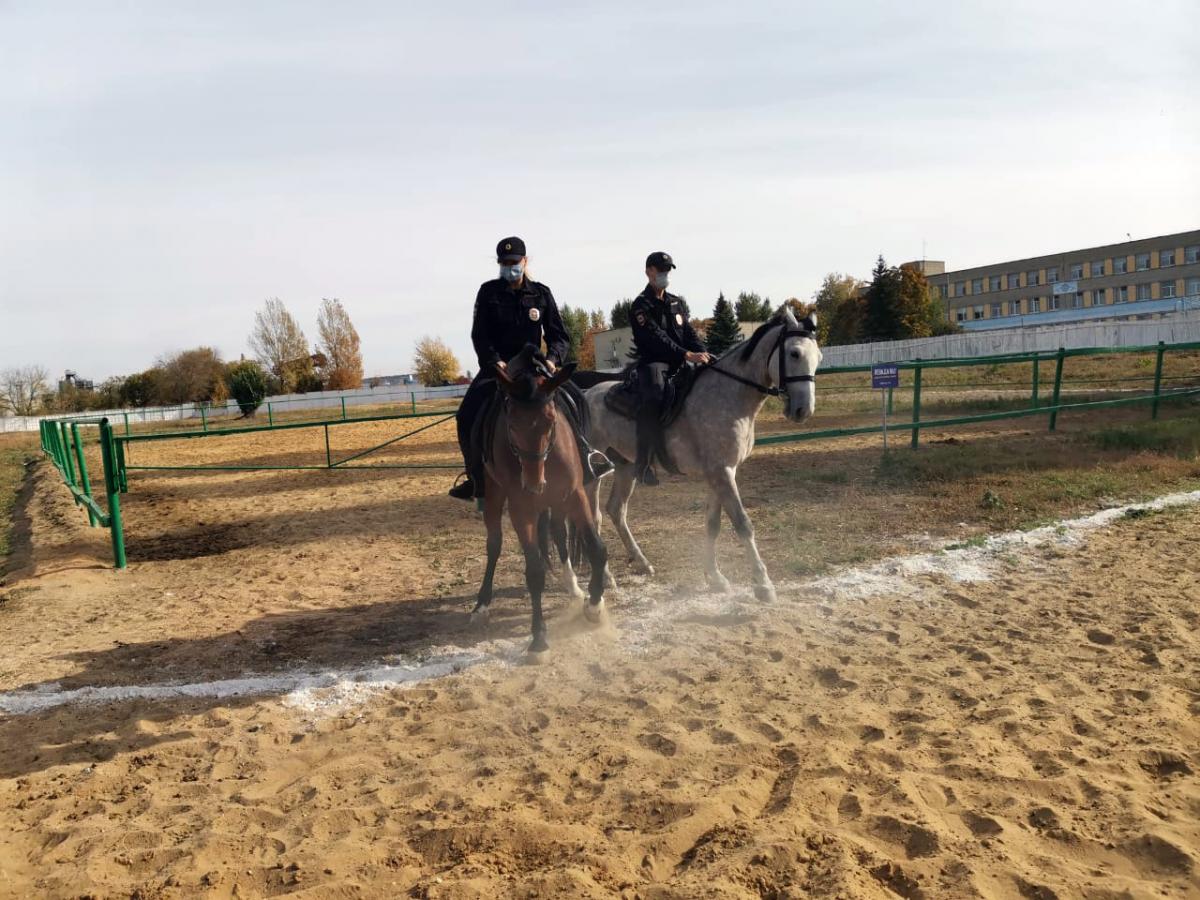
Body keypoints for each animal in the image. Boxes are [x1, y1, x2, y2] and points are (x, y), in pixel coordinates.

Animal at [472, 348, 609, 657]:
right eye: (511, 423)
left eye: (550, 419)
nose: (534, 484)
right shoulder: (521, 509)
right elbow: (534, 571)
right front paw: (538, 636)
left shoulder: (575, 494)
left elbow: (596, 549)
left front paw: (594, 607)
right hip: (494, 495)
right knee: (494, 544)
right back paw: (482, 604)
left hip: (556, 501)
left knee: (558, 533)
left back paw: (573, 587)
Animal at [583, 307, 825, 602]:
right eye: (794, 353)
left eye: (818, 357)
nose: (803, 410)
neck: (729, 394)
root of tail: (584, 395)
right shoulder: (721, 472)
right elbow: (742, 523)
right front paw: (762, 584)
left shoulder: (721, 472)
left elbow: (713, 524)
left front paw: (716, 578)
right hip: (593, 473)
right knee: (593, 518)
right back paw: (606, 577)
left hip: (626, 466)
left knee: (616, 510)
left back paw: (641, 562)